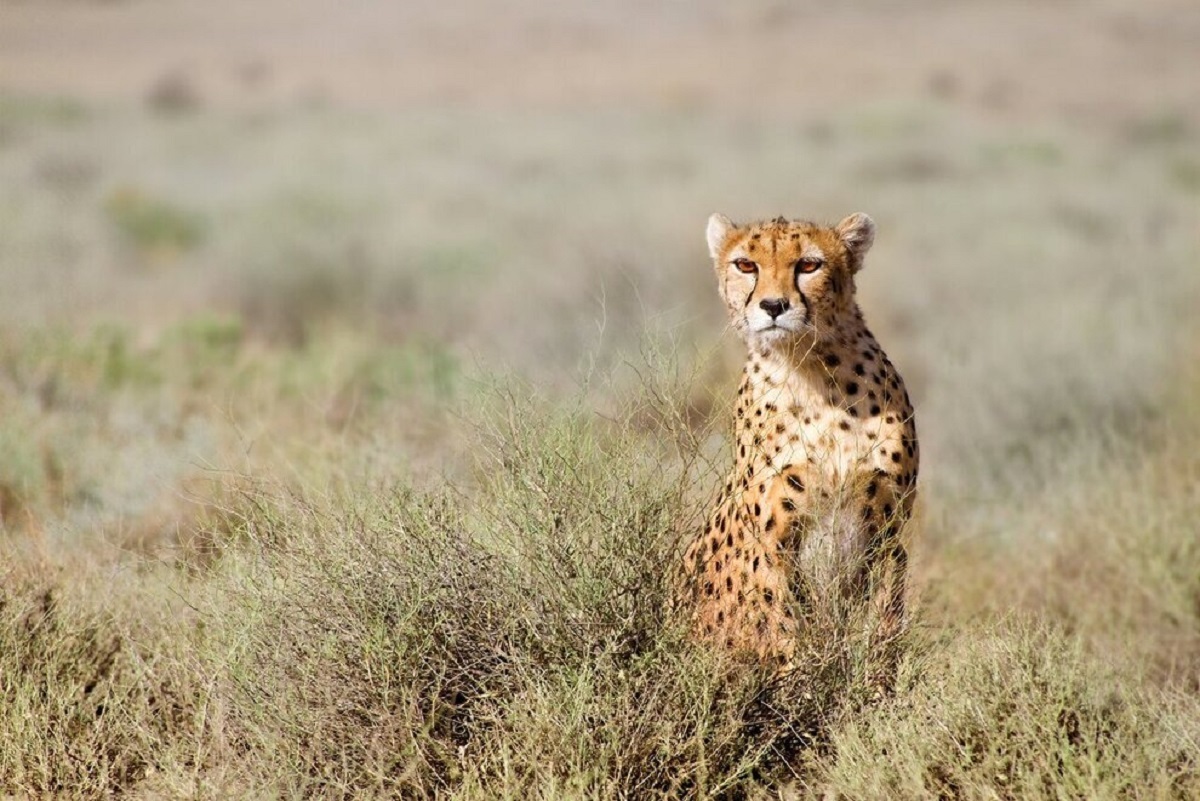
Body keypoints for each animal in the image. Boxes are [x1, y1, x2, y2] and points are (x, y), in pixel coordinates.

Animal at [681, 209, 921, 666]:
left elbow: (883, 632)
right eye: (746, 265)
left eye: (809, 265)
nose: (773, 306)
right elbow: (787, 630)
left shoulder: (888, 535)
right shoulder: (772, 545)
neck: (812, 372)